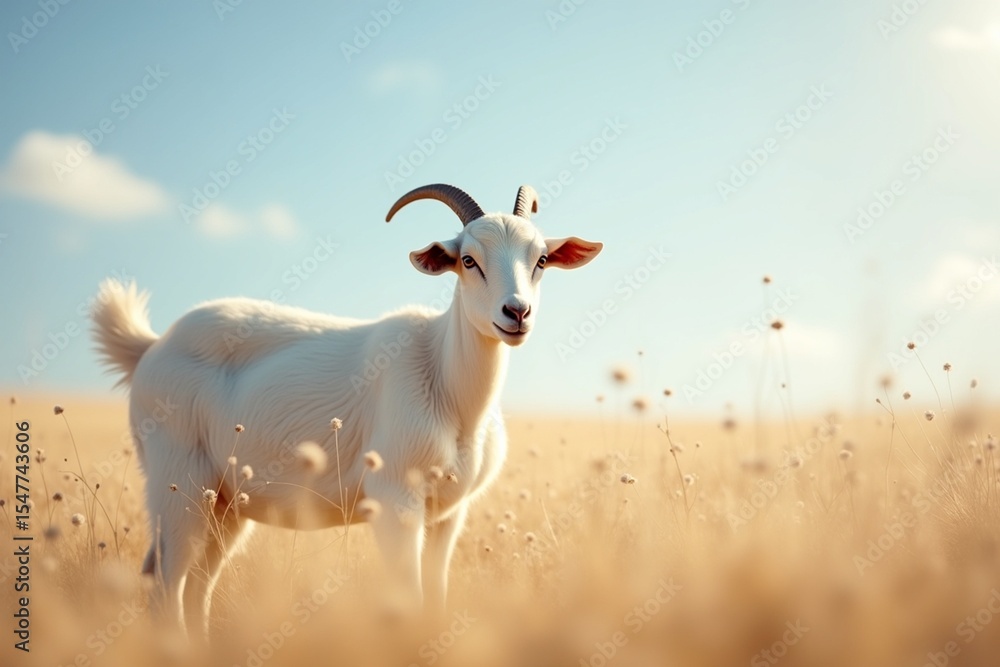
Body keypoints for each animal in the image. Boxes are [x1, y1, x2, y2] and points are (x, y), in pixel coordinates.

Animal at [91, 183, 602, 637]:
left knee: (197, 585)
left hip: (225, 504)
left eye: (540, 260)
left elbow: (436, 596)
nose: (516, 313)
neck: (444, 380)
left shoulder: (446, 515)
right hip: (177, 485)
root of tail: (149, 346)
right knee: (167, 583)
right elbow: (410, 596)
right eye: (468, 260)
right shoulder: (395, 501)